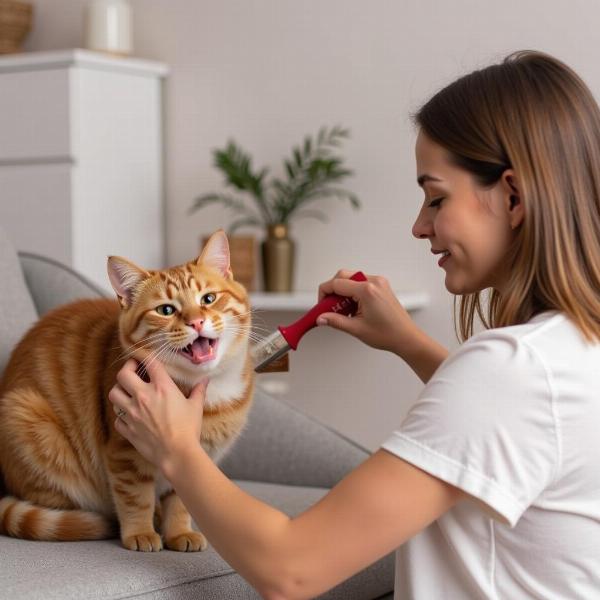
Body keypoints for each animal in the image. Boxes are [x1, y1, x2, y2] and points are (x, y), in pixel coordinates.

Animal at [0, 230, 254, 552]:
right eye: (166, 310)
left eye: (208, 299)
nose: (197, 321)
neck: (206, 388)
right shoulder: (125, 455)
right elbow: (135, 498)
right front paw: (140, 532)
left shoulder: (192, 460)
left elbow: (181, 500)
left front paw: (178, 532)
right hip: (26, 416)